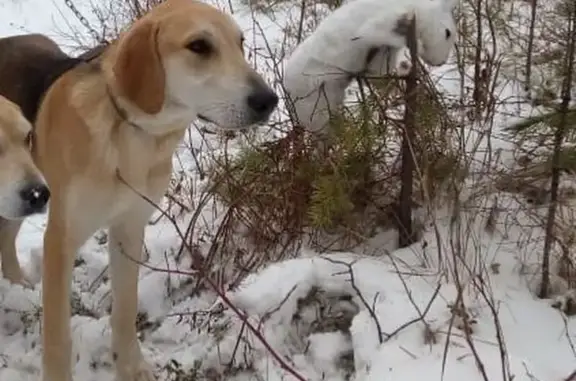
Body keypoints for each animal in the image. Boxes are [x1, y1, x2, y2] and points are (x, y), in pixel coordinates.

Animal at [0, 0, 280, 380]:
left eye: (240, 43)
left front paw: (130, 365)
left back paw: (17, 284)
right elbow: (58, 336)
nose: (268, 100)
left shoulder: (129, 228)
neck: (133, 135)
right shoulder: (61, 238)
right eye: (199, 46)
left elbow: (125, 307)